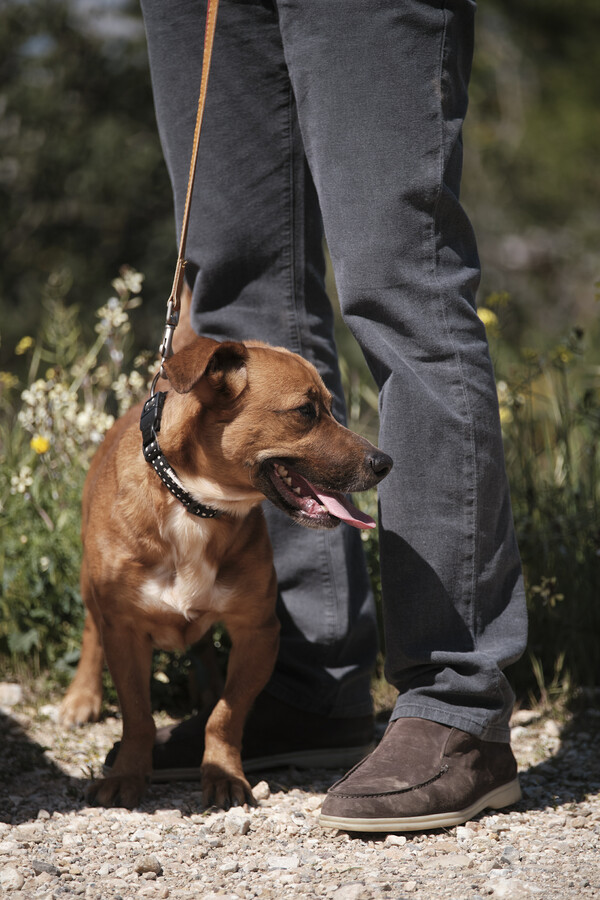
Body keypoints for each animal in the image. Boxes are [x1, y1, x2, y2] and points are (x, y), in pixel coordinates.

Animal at [58, 336, 392, 808]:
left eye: (330, 406)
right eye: (305, 411)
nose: (385, 462)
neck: (194, 505)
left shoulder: (258, 631)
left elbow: (226, 715)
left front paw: (223, 775)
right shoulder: (124, 630)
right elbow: (138, 714)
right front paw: (127, 774)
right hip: (92, 585)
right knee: (91, 629)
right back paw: (81, 697)